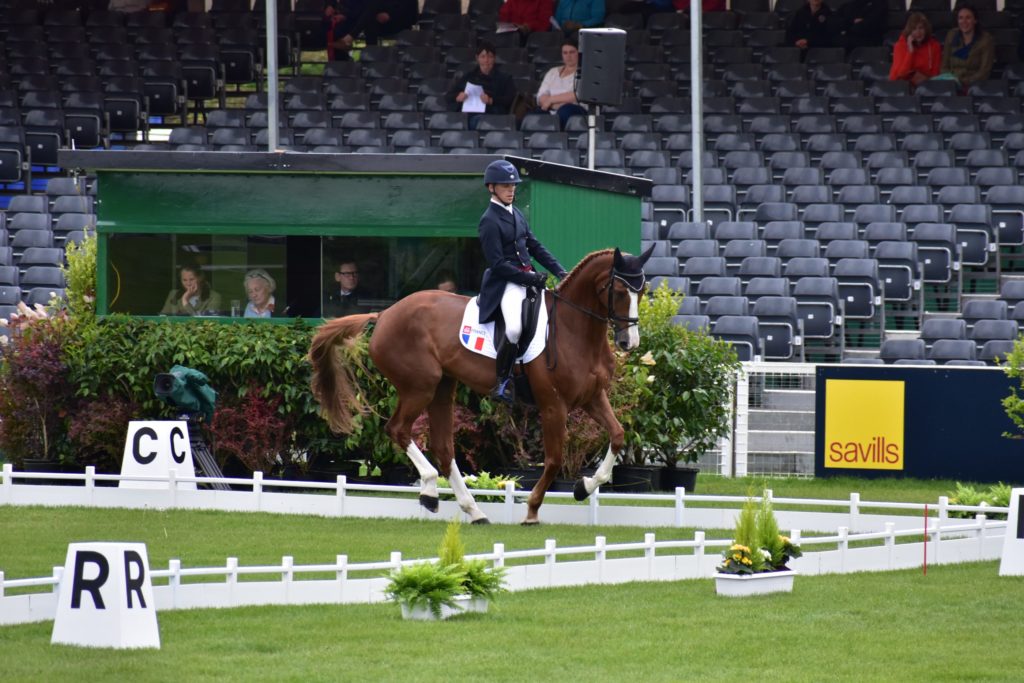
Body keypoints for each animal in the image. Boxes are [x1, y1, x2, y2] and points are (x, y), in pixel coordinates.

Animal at [307, 245, 651, 524]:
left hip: (443, 387)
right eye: (620, 291)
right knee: (399, 430)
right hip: (420, 387)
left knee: (444, 448)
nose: (629, 342)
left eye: (642, 290)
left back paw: (473, 510)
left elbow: (617, 435)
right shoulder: (553, 404)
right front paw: (532, 510)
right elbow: (553, 460)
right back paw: (430, 491)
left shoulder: (592, 397)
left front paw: (583, 486)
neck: (572, 329)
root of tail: (385, 314)